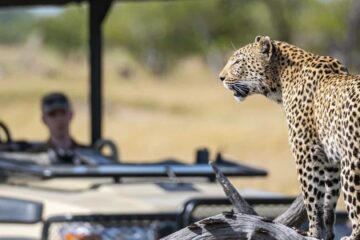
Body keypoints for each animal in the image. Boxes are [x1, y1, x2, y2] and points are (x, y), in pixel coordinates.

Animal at [218, 36, 360, 240]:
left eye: (237, 62)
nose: (220, 77)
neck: (281, 78)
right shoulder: (331, 160)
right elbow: (328, 201)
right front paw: (327, 234)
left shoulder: (305, 152)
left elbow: (312, 199)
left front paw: (312, 232)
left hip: (352, 164)